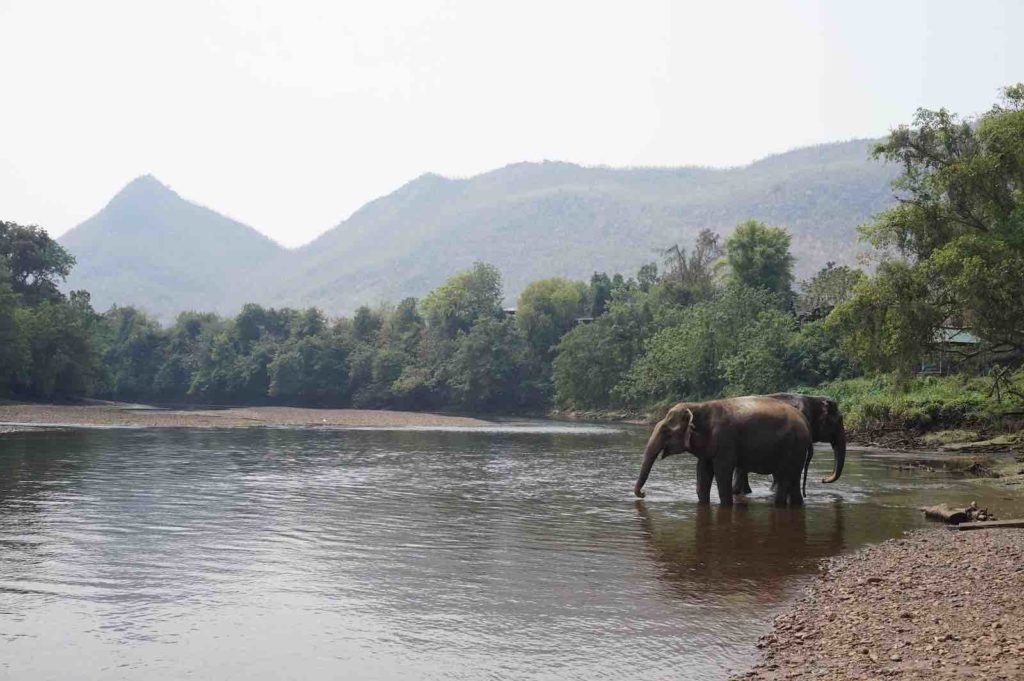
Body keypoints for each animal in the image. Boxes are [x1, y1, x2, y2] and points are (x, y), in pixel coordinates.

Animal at [626, 393, 811, 503]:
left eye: (665, 431)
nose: (644, 494)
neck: (699, 406)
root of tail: (806, 425)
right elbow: (703, 472)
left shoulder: (725, 439)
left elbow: (722, 471)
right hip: (796, 449)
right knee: (793, 480)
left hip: (792, 447)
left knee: (785, 478)